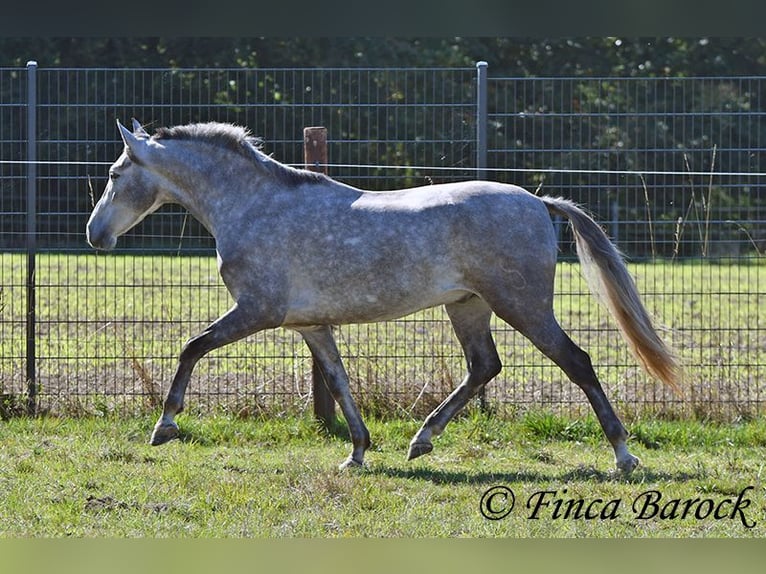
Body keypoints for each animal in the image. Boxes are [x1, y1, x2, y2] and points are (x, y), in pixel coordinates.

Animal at [86, 119, 680, 474]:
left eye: (115, 173)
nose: (96, 235)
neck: (254, 206)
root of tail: (539, 202)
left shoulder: (257, 311)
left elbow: (192, 347)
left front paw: (164, 426)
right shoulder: (310, 325)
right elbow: (339, 382)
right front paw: (357, 453)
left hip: (523, 305)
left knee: (576, 362)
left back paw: (623, 455)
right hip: (467, 305)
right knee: (484, 366)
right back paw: (422, 440)